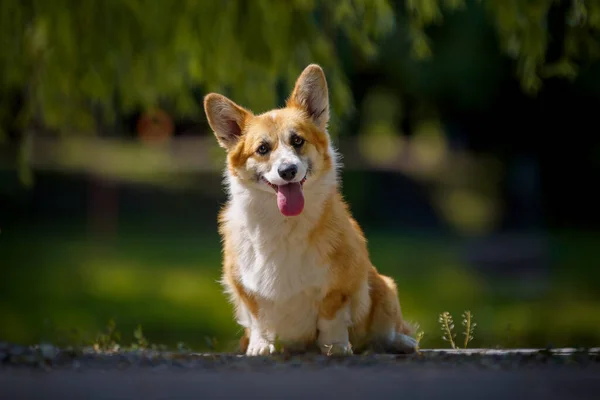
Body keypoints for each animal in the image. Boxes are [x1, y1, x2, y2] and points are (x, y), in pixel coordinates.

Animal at [204, 63, 414, 356]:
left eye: (297, 141)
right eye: (262, 149)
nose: (288, 171)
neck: (283, 224)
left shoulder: (339, 287)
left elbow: (331, 319)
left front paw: (335, 347)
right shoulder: (246, 289)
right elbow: (259, 319)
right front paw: (261, 346)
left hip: (384, 287)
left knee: (386, 331)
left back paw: (401, 343)